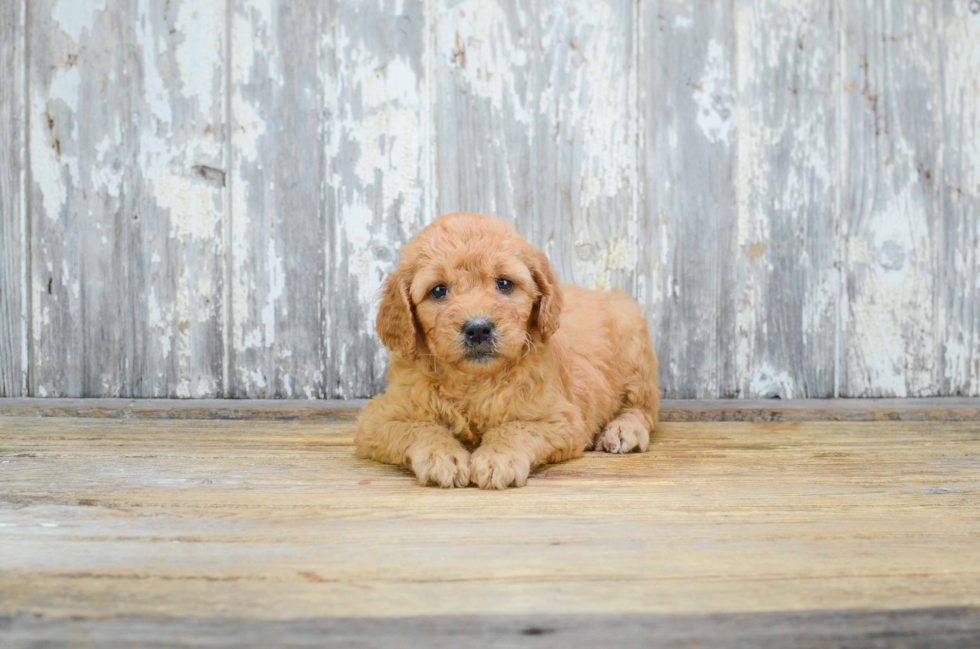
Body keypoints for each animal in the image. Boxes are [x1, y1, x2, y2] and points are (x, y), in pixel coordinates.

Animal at [352, 214, 660, 492]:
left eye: (504, 283)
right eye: (438, 290)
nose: (478, 329)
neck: (473, 381)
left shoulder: (560, 419)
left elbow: (516, 428)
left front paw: (496, 458)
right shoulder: (378, 418)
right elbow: (419, 428)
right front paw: (443, 456)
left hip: (635, 356)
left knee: (643, 408)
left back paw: (623, 430)